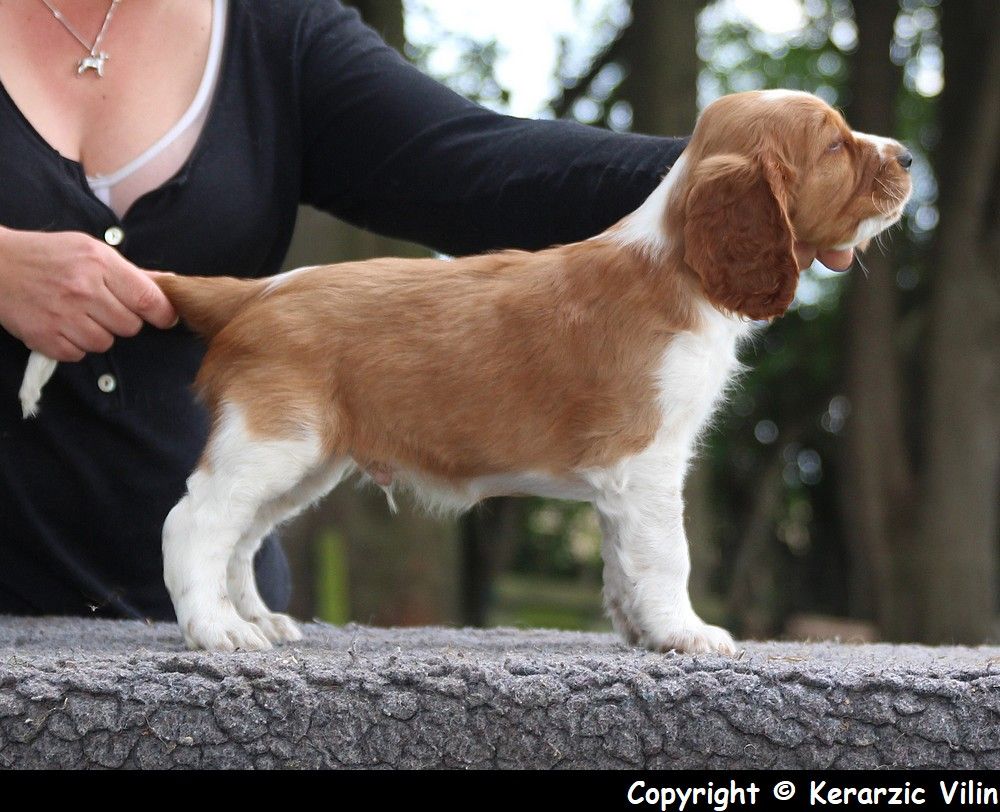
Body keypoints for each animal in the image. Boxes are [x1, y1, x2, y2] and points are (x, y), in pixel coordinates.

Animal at [21, 90, 916, 652]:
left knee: (239, 536)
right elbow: (667, 557)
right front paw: (686, 634)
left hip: (303, 456)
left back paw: (255, 619)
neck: (676, 263)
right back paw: (216, 631)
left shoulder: (626, 483)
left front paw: (638, 632)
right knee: (193, 522)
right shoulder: (648, 463)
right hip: (274, 439)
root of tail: (256, 290)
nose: (910, 156)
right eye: (835, 144)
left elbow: (620, 562)